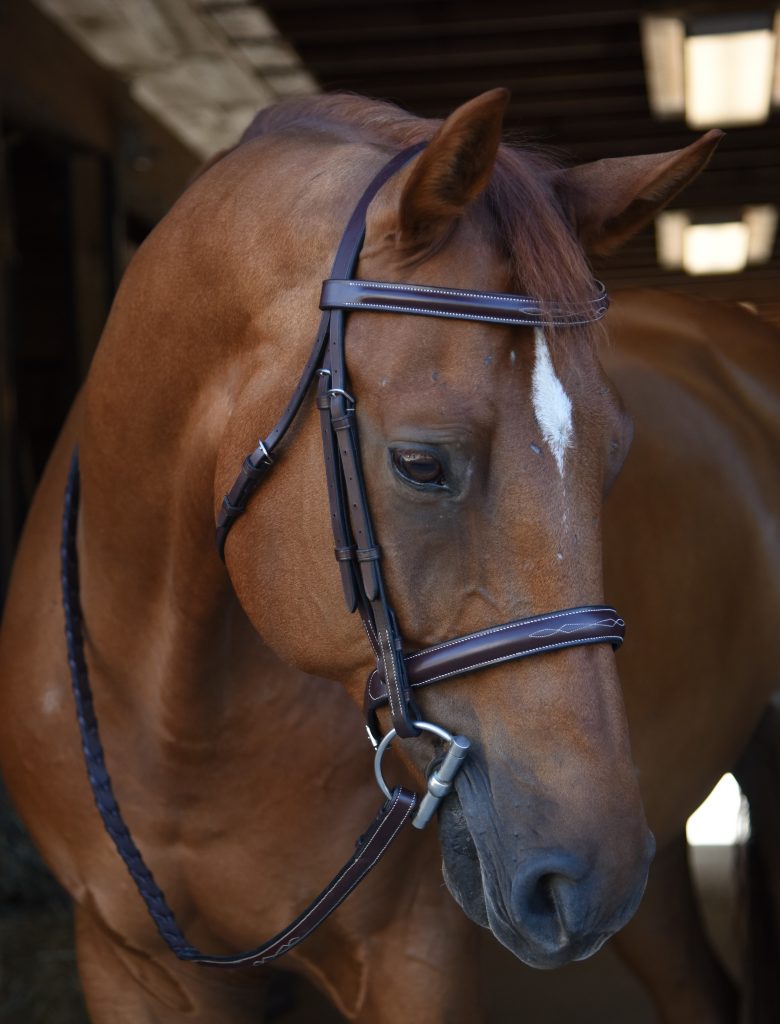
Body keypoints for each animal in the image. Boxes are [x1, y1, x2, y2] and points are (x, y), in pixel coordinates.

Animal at [0, 90, 741, 1024]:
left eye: (615, 457)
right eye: (420, 463)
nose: (592, 875)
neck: (174, 716)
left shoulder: (412, 960)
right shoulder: (125, 964)